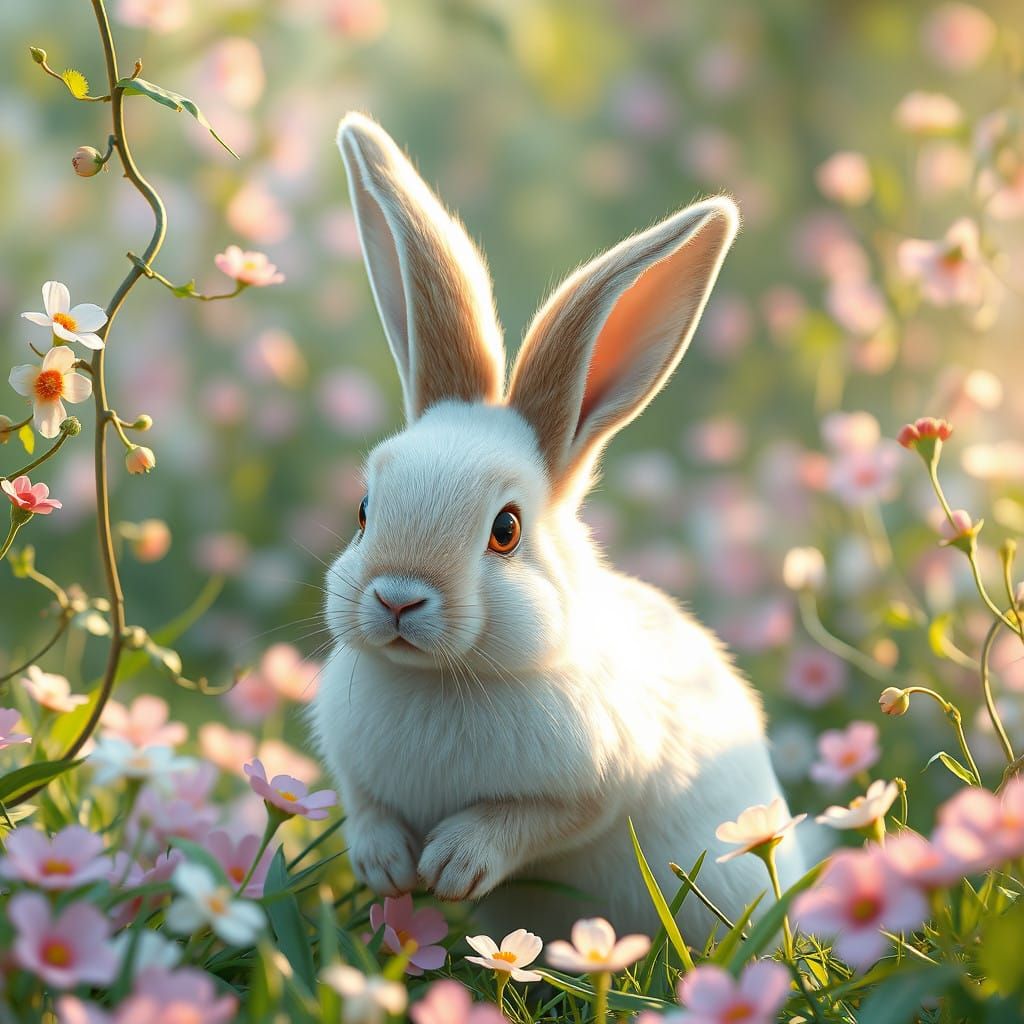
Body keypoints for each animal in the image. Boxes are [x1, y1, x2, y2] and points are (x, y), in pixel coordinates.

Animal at [309, 112, 805, 944]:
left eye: (506, 531)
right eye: (364, 511)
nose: (397, 597)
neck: (440, 678)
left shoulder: (595, 783)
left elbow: (531, 820)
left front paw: (451, 864)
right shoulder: (355, 775)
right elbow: (367, 809)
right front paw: (387, 867)